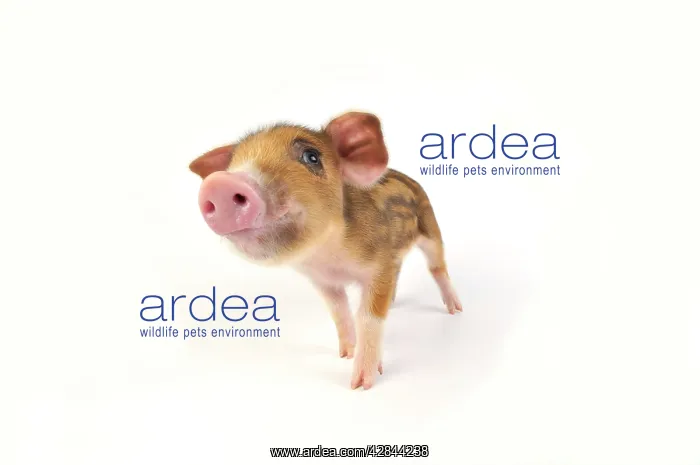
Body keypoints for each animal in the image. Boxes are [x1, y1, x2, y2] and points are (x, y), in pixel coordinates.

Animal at [189, 111, 462, 390]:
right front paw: (346, 354)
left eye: (311, 157)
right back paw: (394, 303)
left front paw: (361, 384)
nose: (220, 182)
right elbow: (339, 312)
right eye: (233, 163)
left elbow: (368, 317)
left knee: (437, 267)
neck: (328, 256)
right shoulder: (323, 281)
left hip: (431, 227)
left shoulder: (380, 265)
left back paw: (455, 309)